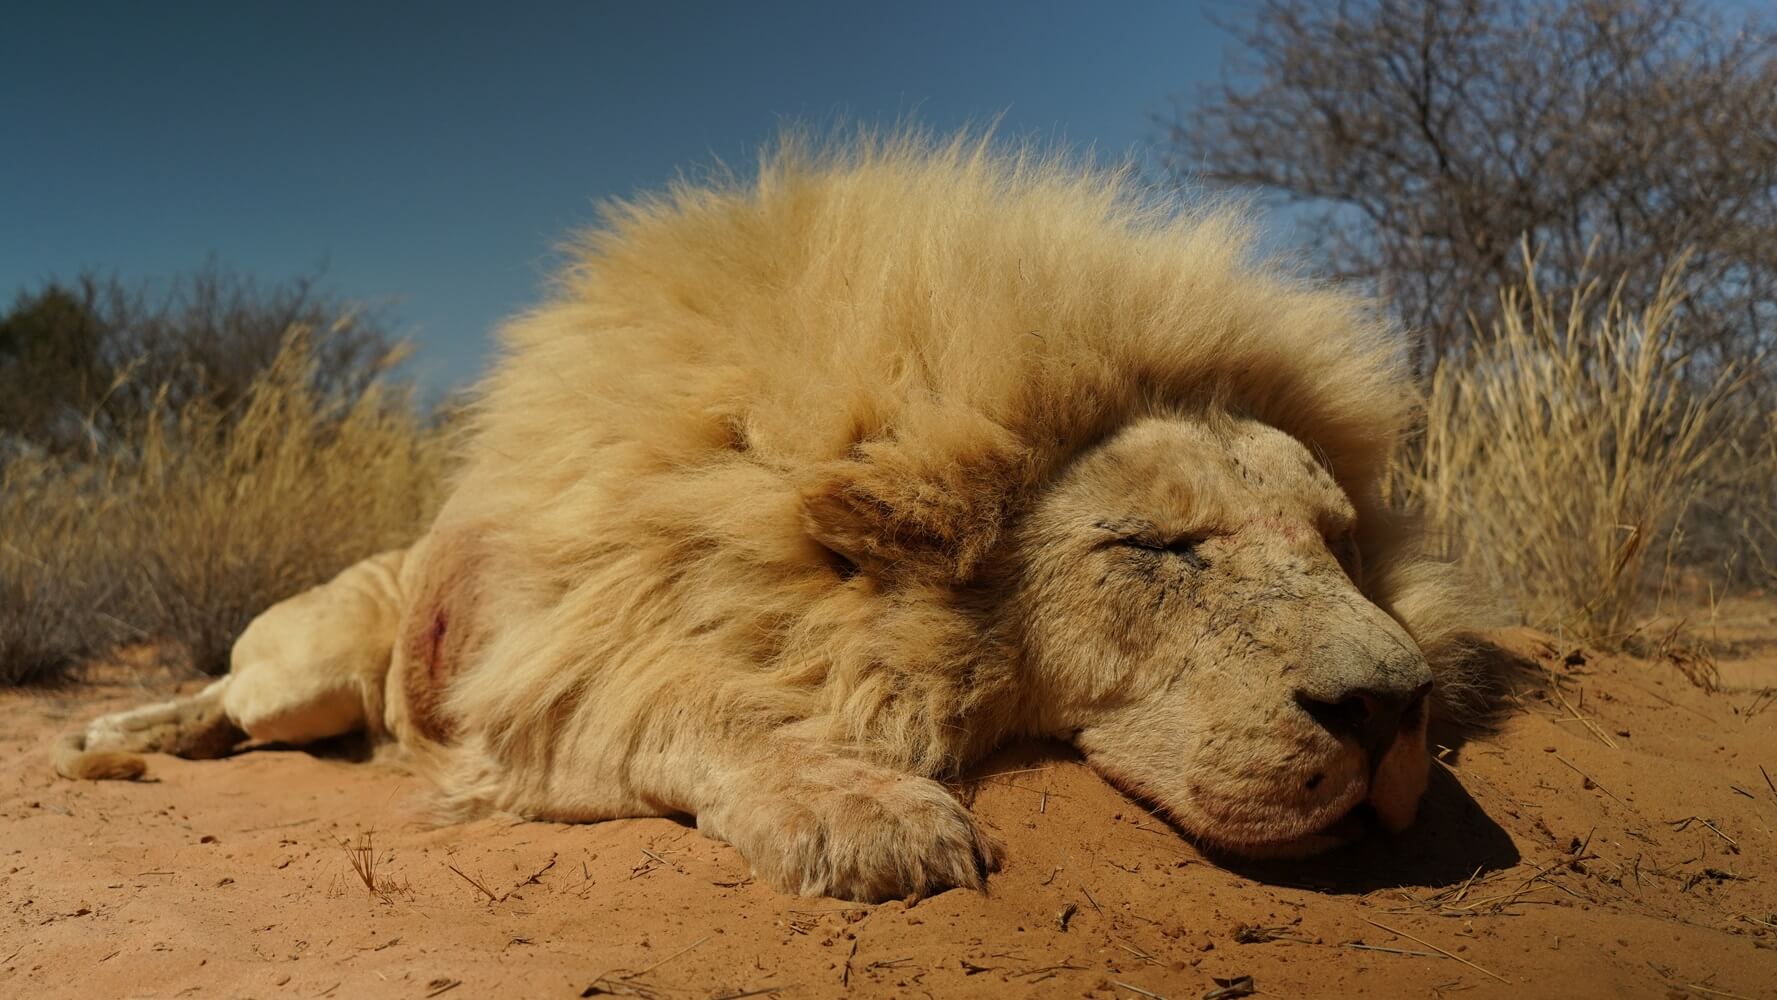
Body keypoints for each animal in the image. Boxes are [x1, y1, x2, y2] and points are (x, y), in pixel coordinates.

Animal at [55, 131, 1485, 902]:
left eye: (1338, 545)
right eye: (1155, 550)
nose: (1390, 709)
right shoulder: (546, 695)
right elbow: (700, 708)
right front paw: (867, 812)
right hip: (305, 670)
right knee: (227, 694)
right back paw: (108, 741)